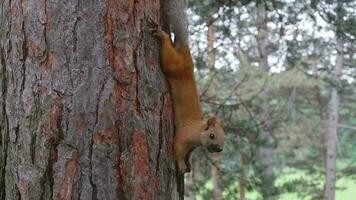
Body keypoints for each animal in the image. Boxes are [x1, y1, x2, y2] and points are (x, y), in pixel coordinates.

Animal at [149, 0, 224, 173]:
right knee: (167, 53)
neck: (198, 131)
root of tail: (185, 53)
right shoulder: (184, 135)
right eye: (212, 135)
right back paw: (162, 34)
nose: (219, 149)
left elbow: (188, 154)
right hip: (172, 64)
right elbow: (177, 148)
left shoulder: (192, 147)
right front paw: (182, 166)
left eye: (224, 138)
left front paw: (188, 164)